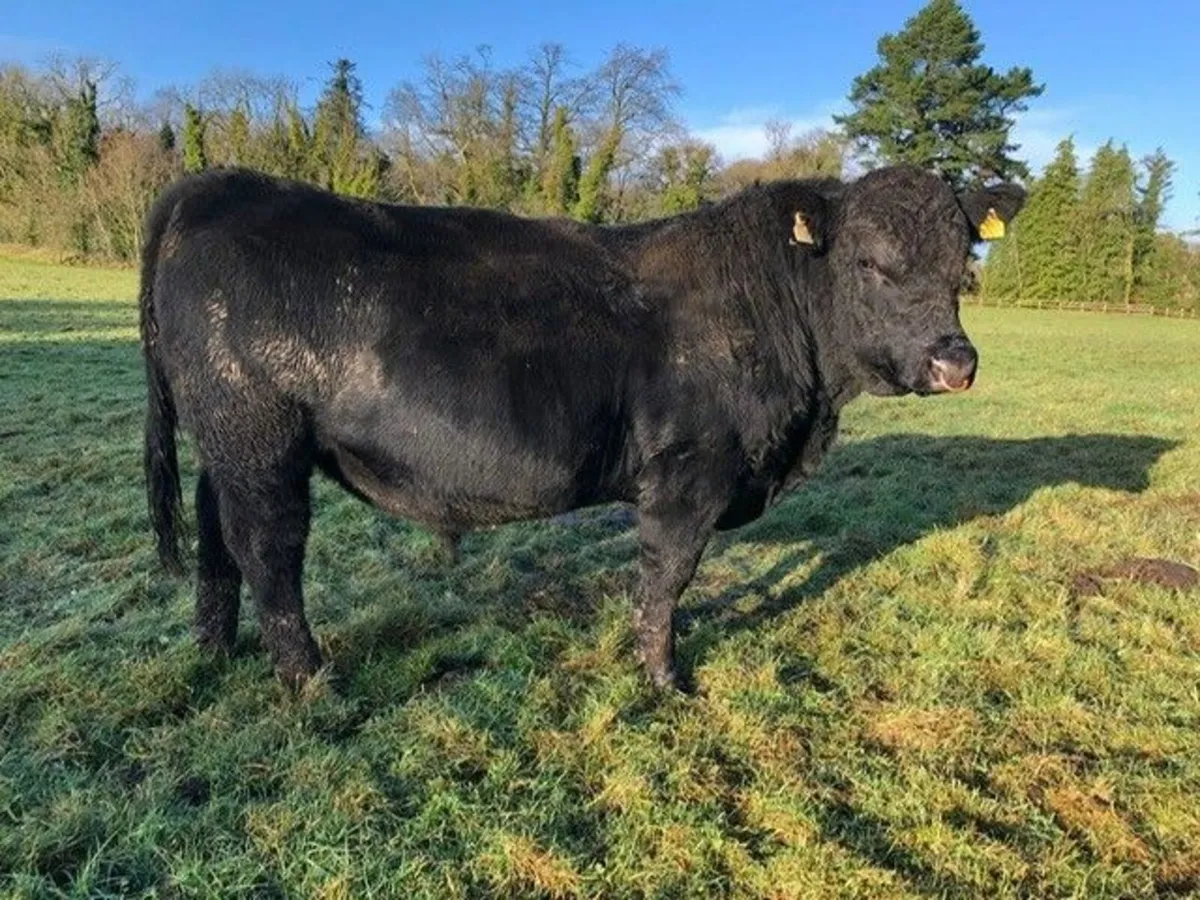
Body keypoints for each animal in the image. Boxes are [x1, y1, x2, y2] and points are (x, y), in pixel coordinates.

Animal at [140, 164, 1024, 691]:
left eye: (964, 262)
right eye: (870, 263)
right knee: (268, 546)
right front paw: (665, 680)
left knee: (217, 534)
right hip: (259, 437)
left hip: (228, 441)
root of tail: (220, 182)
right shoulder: (690, 475)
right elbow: (666, 578)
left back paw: (215, 650)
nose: (956, 361)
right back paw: (310, 680)